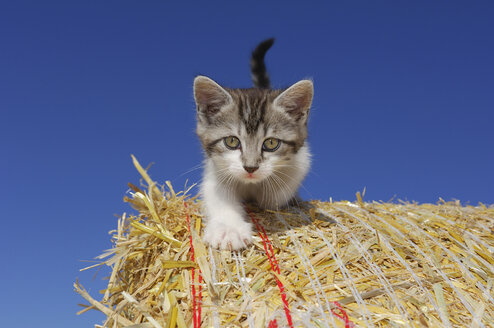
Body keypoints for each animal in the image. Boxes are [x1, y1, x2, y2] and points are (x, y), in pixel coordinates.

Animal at [193, 39, 312, 249]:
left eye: (271, 143)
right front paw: (228, 230)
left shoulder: (302, 160)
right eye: (232, 141)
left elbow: (276, 195)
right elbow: (218, 196)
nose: (250, 168)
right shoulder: (215, 173)